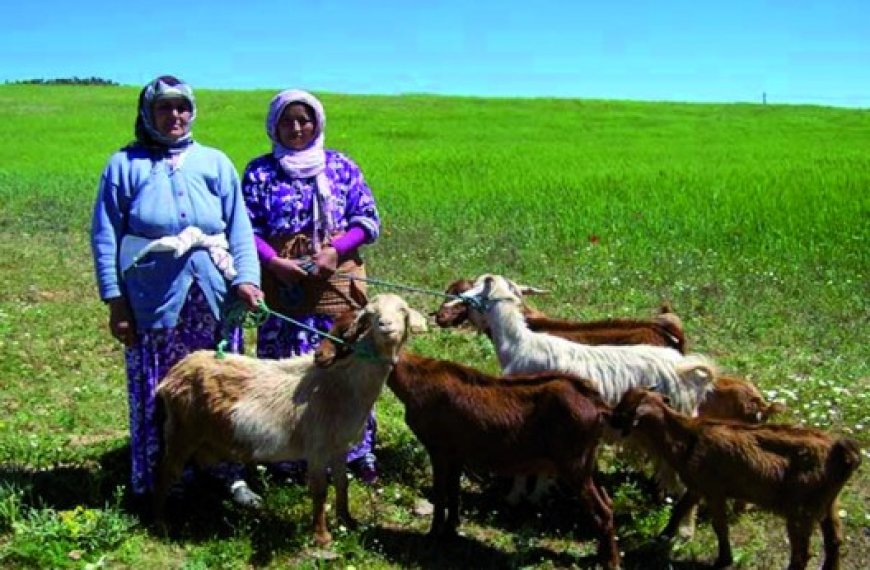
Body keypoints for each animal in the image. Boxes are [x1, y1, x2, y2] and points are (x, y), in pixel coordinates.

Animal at [158, 292, 432, 540]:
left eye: (402, 311)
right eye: (371, 316)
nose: (386, 326)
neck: (342, 383)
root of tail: (173, 374)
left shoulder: (340, 446)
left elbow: (342, 484)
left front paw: (348, 522)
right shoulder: (317, 446)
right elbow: (320, 490)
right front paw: (321, 536)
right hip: (181, 432)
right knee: (165, 473)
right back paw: (161, 521)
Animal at [608, 386, 860, 568]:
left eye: (624, 409)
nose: (608, 417)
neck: (687, 436)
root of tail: (844, 453)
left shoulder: (714, 490)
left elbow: (720, 526)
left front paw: (723, 560)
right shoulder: (698, 486)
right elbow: (680, 508)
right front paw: (663, 536)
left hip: (801, 509)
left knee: (802, 553)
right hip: (829, 503)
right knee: (834, 541)